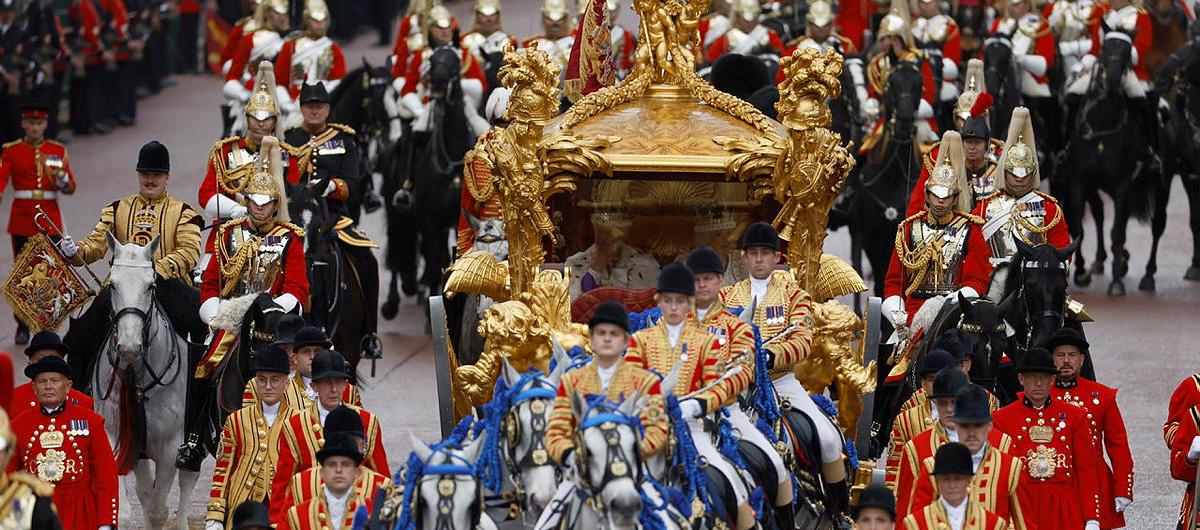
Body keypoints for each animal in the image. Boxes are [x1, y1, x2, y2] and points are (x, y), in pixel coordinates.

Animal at [91, 236, 200, 530]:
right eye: (112, 284)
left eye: (151, 285)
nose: (129, 347)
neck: (137, 376)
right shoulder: (117, 437)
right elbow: (129, 505)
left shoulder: (170, 449)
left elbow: (158, 509)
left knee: (187, 482)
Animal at [849, 59, 921, 296]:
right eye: (892, 83)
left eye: (919, 84)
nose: (904, 122)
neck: (894, 173)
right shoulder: (871, 238)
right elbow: (882, 281)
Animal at [1065, 36, 1156, 293]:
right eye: (1105, 50)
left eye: (1127, 52)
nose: (1114, 81)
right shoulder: (1079, 179)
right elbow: (1078, 227)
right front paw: (1081, 273)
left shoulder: (1123, 183)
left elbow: (1117, 232)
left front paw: (1116, 282)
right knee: (1098, 213)